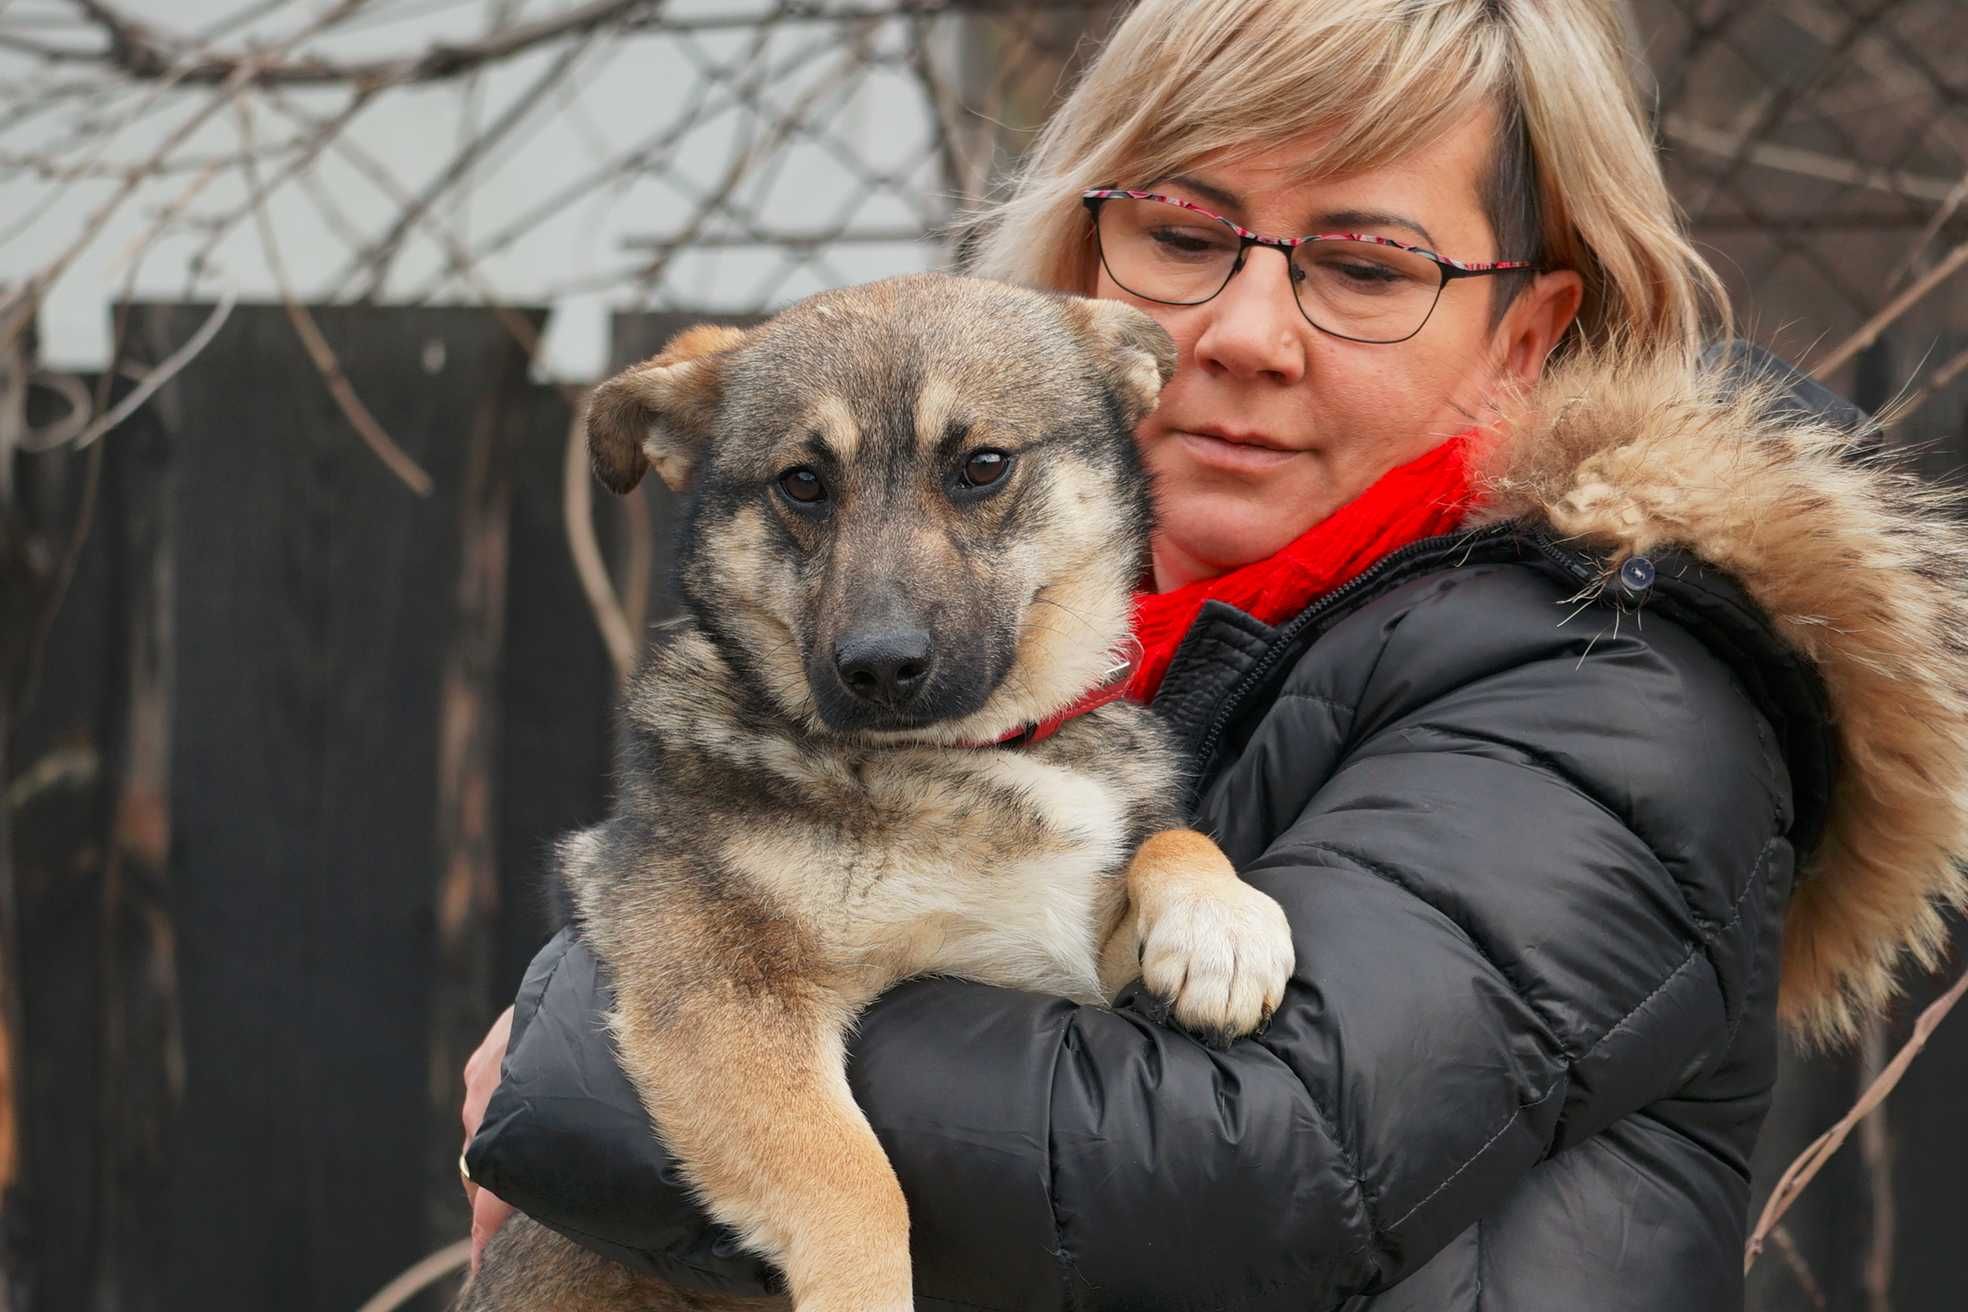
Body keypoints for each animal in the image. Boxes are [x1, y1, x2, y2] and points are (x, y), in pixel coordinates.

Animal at [458, 271, 1291, 1306]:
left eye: (982, 465)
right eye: (802, 483)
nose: (881, 667)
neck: (977, 756)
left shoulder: (1086, 982)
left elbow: (1172, 840)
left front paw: (1225, 928)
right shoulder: (721, 990)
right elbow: (857, 1186)